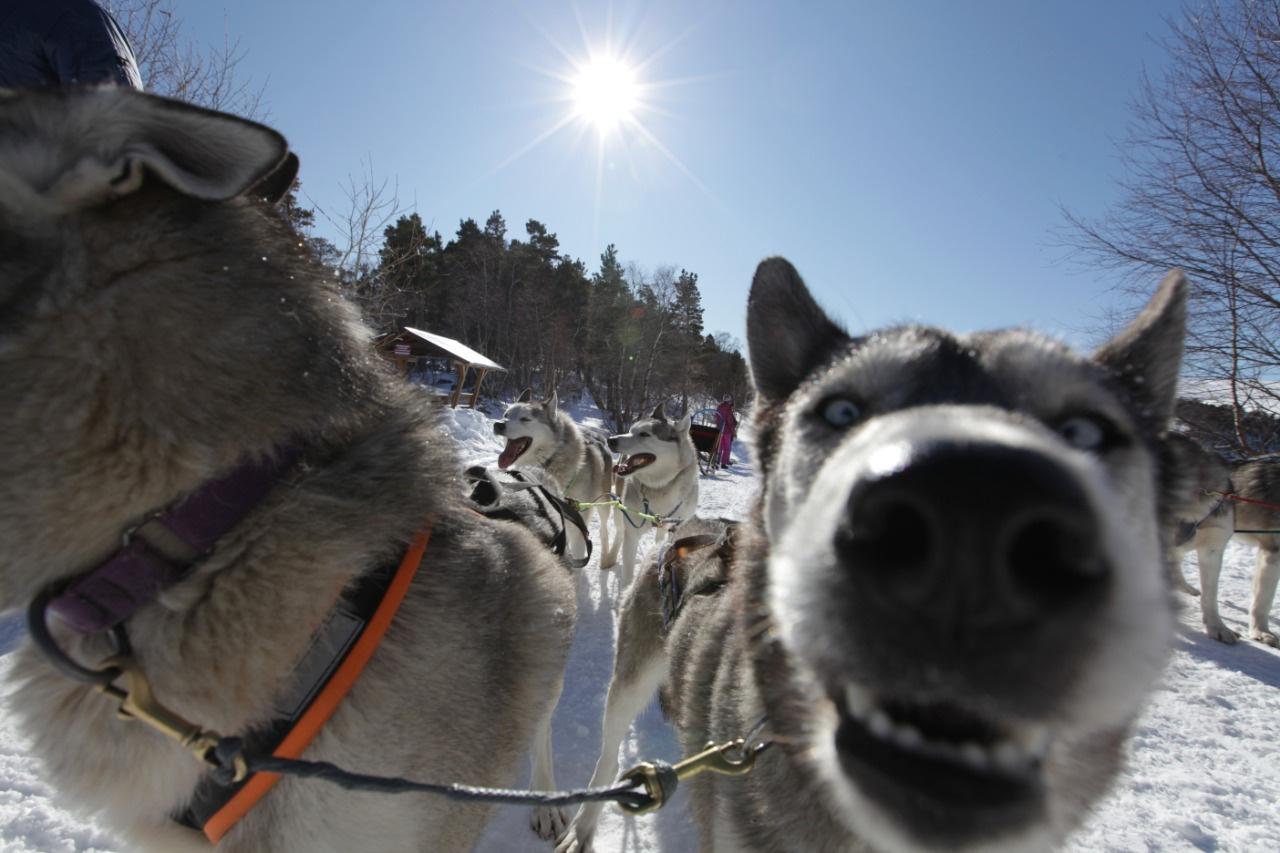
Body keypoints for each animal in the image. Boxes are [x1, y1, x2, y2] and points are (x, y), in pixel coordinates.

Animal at [491, 389, 611, 563]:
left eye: (525, 419)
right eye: (506, 414)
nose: (498, 424)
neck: (551, 460)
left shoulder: (578, 533)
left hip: (604, 503)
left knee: (604, 528)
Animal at [601, 404, 701, 591]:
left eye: (644, 434)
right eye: (631, 430)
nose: (611, 439)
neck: (660, 487)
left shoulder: (676, 528)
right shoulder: (632, 533)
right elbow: (628, 574)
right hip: (620, 508)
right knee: (619, 532)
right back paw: (610, 557)